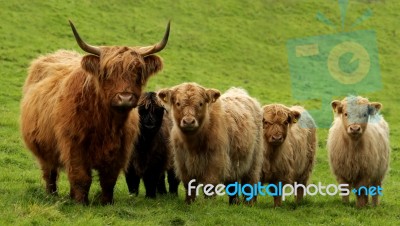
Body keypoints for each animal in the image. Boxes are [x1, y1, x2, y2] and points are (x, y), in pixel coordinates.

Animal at [20, 20, 170, 205]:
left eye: (138, 71)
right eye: (107, 73)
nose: (125, 97)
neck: (106, 121)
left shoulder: (120, 150)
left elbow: (108, 179)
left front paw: (105, 203)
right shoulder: (74, 145)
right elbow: (80, 176)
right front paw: (81, 203)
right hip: (43, 148)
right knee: (50, 172)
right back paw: (51, 195)